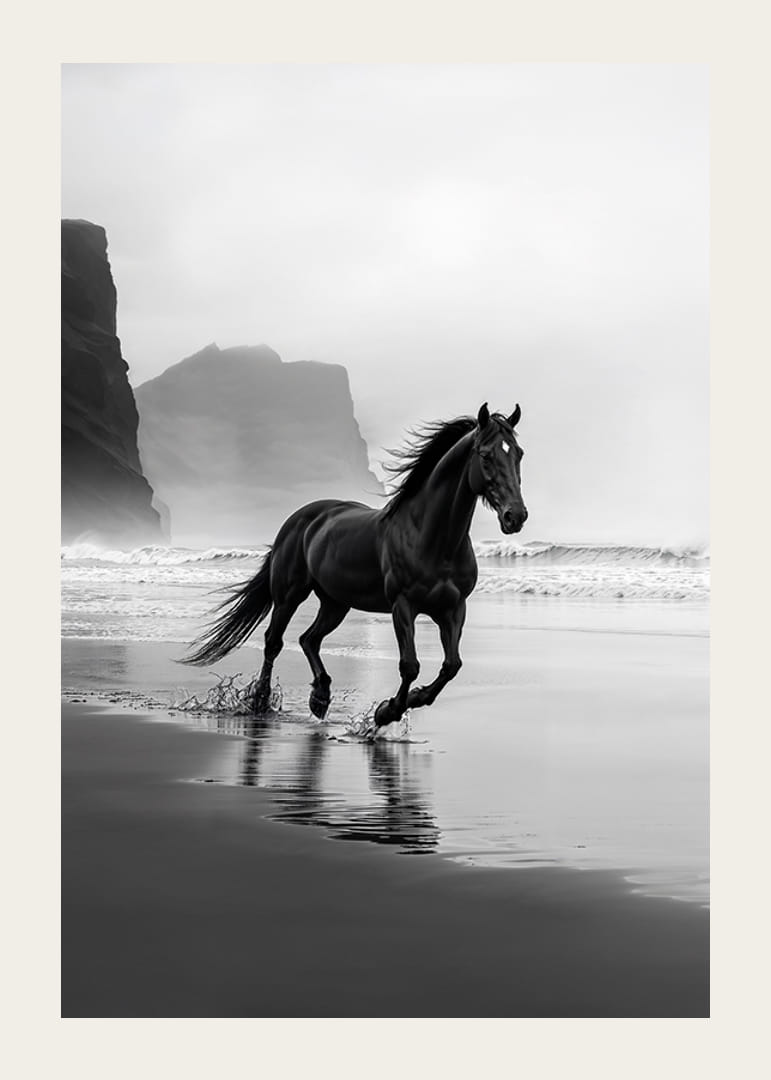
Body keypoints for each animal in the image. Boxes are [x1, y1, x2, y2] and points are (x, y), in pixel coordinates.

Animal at [182, 402, 527, 732]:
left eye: (518, 454)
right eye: (486, 455)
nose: (516, 516)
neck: (432, 539)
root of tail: (298, 519)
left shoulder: (453, 609)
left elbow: (452, 666)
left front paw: (408, 701)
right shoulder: (403, 605)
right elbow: (410, 665)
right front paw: (386, 712)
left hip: (336, 603)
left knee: (309, 639)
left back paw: (320, 698)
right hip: (289, 595)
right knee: (273, 642)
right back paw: (261, 701)